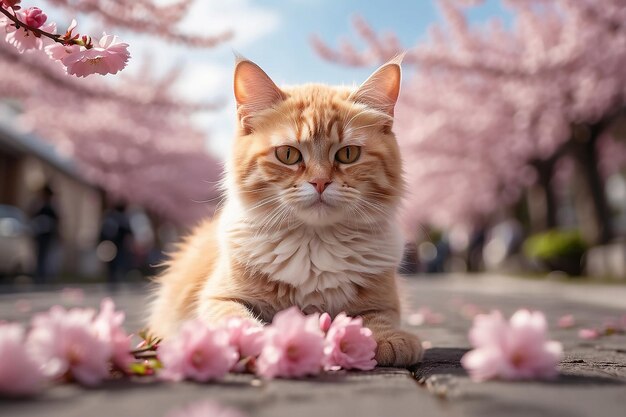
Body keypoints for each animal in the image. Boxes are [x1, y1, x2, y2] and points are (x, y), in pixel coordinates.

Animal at [147, 57, 420, 366]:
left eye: (348, 154)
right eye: (288, 155)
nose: (320, 182)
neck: (314, 246)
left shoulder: (385, 304)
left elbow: (375, 319)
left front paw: (388, 339)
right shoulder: (218, 298)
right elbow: (235, 319)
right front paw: (255, 340)